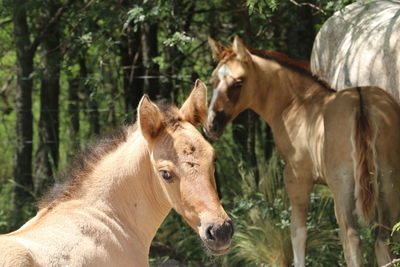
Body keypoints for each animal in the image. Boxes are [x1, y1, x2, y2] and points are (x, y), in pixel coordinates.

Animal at [205, 36, 400, 267]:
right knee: (383, 239)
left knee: (351, 237)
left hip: (342, 186)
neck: (296, 103)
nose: (211, 126)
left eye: (238, 83)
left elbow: (297, 233)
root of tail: (361, 103)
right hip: (388, 183)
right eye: (212, 81)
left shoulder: (296, 178)